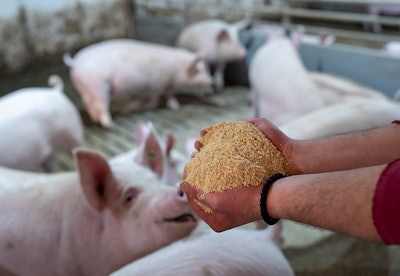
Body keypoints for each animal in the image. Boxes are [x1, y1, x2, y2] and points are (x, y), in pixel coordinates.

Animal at [63, 38, 212, 128]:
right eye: (197, 70)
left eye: (205, 68)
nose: (212, 81)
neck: (175, 69)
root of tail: (76, 62)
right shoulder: (157, 83)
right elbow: (154, 98)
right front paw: (149, 105)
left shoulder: (167, 82)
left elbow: (170, 93)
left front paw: (175, 106)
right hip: (99, 85)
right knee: (101, 105)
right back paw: (110, 124)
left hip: (85, 87)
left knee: (88, 103)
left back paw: (95, 119)